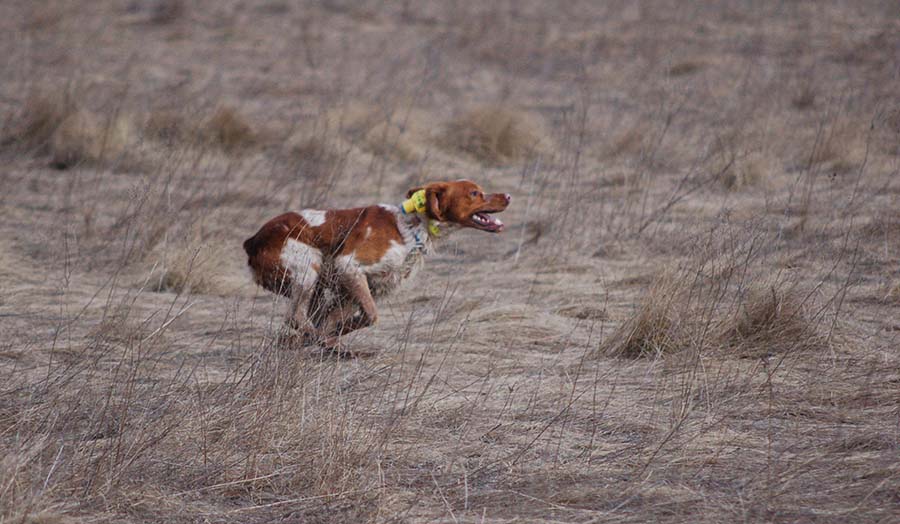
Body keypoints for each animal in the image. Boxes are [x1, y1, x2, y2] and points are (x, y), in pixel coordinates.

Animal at [243, 181, 510, 352]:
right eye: (475, 193)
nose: (508, 196)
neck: (413, 226)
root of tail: (252, 240)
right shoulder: (348, 266)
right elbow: (370, 316)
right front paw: (330, 339)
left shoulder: (364, 287)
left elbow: (342, 319)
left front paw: (330, 334)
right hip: (309, 267)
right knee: (295, 316)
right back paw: (324, 344)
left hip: (315, 284)